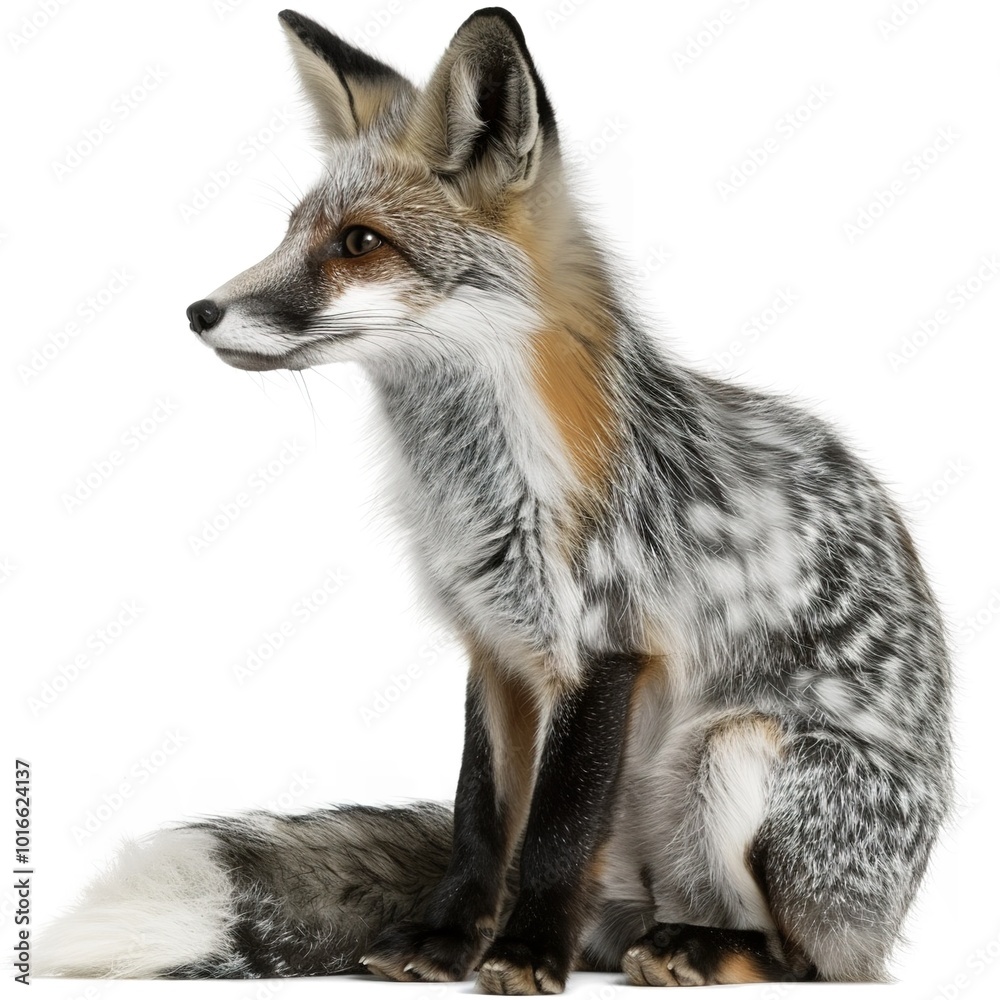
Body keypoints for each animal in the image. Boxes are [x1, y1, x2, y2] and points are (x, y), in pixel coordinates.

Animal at [37, 6, 953, 994]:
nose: (199, 311)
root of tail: (888, 922)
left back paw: (704, 948)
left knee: (804, 958)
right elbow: (481, 822)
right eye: (290, 231)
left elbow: (553, 834)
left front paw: (520, 953)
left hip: (736, 750)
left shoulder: (604, 645)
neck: (482, 495)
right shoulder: (494, 646)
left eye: (357, 243)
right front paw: (447, 942)